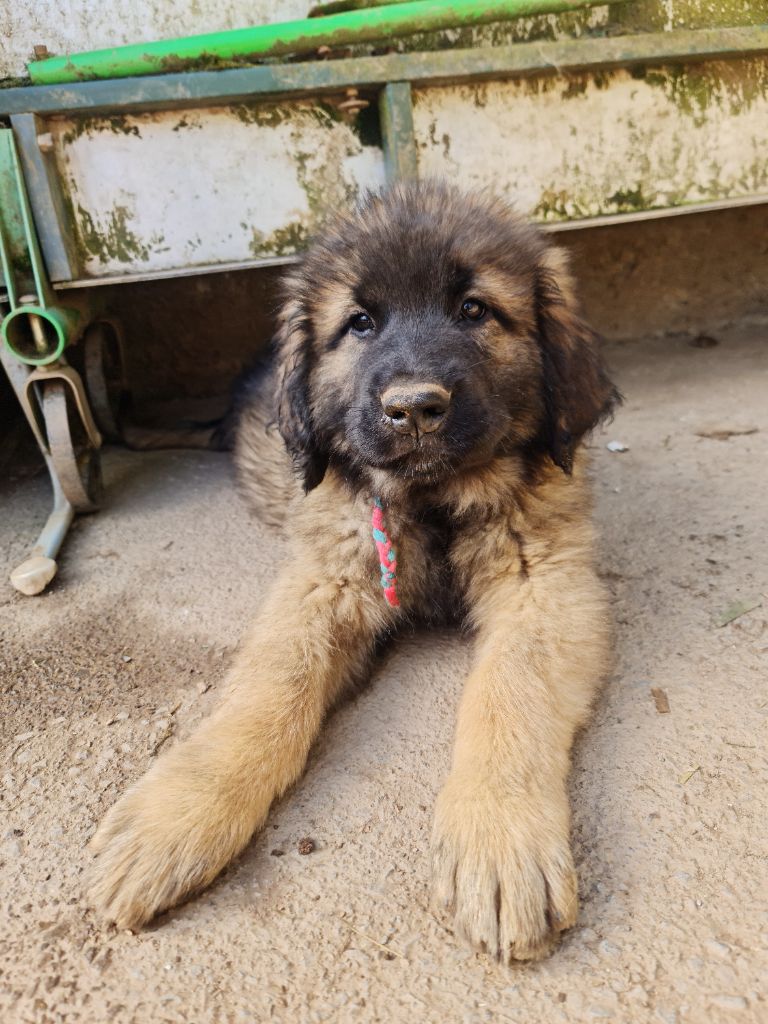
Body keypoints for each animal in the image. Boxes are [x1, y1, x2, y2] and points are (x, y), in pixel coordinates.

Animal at [88, 182, 618, 958]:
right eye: (360, 324)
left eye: (474, 310)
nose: (414, 408)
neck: (433, 505)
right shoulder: (324, 578)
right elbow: (269, 691)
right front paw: (175, 816)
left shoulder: (544, 587)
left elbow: (508, 695)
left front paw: (499, 840)